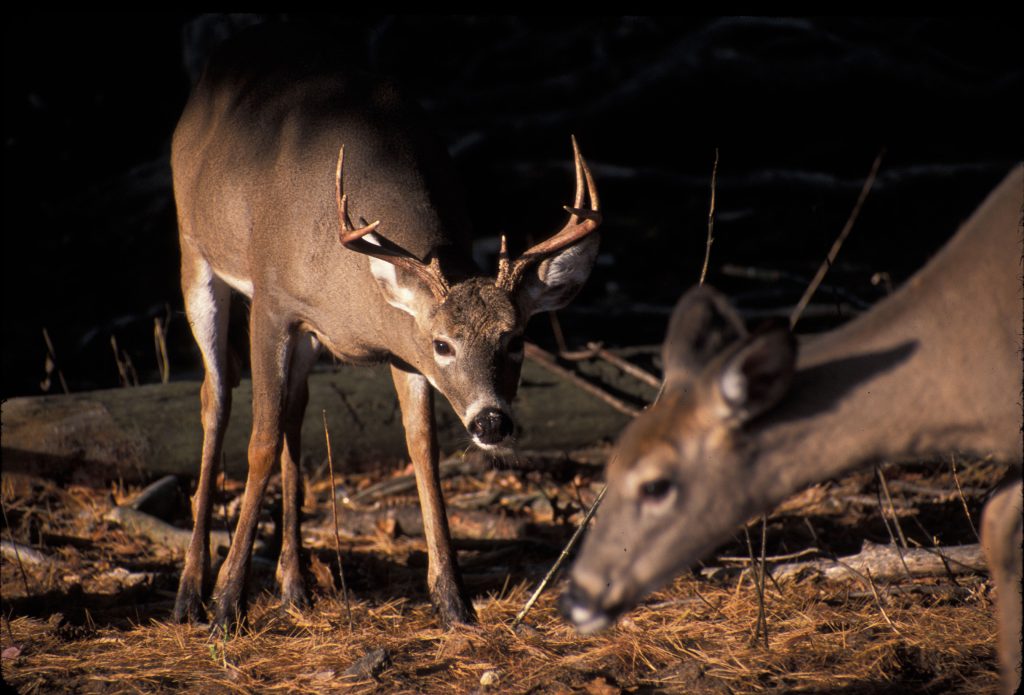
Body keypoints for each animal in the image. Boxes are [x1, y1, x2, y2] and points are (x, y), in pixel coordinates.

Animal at [167, 24, 598, 626]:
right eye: (442, 344)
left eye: (515, 340)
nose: (491, 421)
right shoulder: (275, 301)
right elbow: (260, 440)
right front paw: (228, 603)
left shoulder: (393, 349)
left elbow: (423, 449)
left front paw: (454, 602)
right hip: (195, 249)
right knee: (217, 396)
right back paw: (191, 591)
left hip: (304, 335)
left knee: (296, 413)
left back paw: (294, 584)